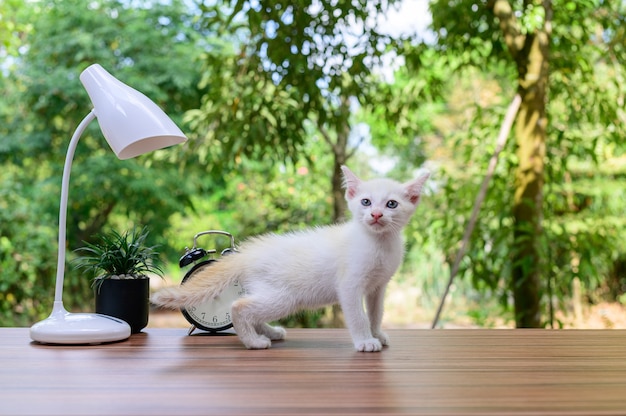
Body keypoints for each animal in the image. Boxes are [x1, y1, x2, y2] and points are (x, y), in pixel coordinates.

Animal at [150, 166, 428, 352]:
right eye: (366, 201)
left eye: (392, 204)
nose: (376, 215)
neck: (378, 244)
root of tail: (248, 253)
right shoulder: (349, 286)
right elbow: (358, 316)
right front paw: (365, 341)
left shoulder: (378, 287)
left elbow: (376, 313)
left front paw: (378, 334)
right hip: (284, 297)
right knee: (238, 307)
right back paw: (254, 342)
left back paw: (270, 332)